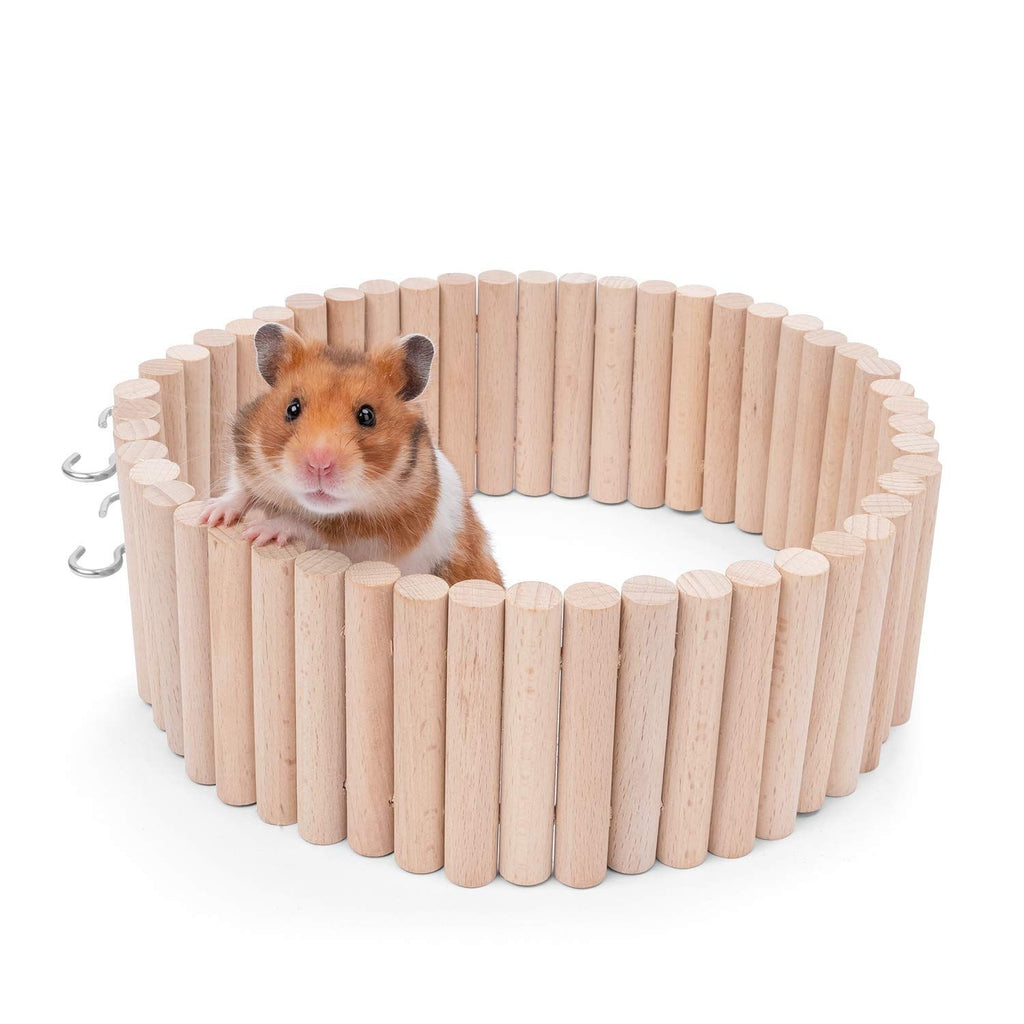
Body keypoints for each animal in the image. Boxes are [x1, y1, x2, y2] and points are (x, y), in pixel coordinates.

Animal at [201, 323, 503, 587]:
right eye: (292, 408)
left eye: (367, 415)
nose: (319, 464)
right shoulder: (247, 455)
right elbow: (238, 488)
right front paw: (211, 514)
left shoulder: (373, 541)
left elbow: (312, 528)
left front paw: (259, 532)